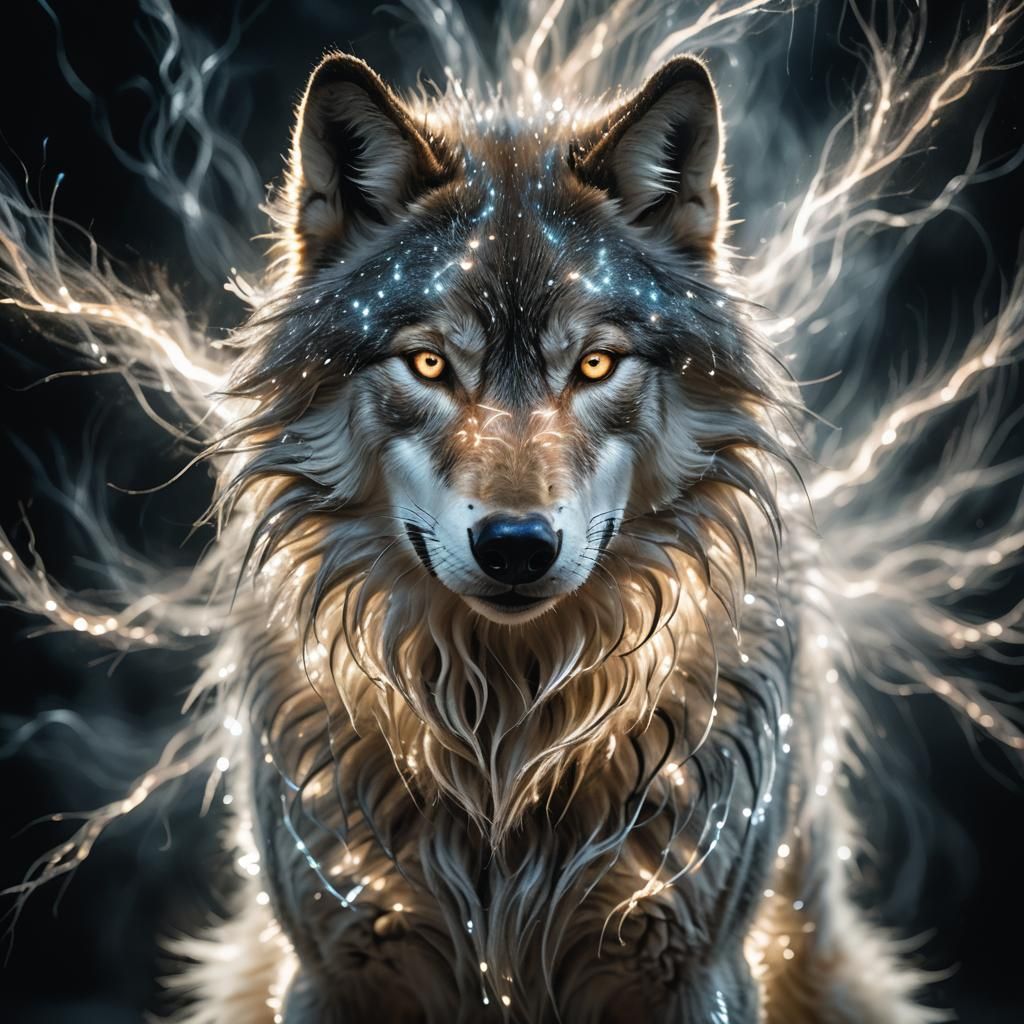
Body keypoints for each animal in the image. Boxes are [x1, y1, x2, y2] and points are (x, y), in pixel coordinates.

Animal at [127, 49, 953, 1024]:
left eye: (594, 364)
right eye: (430, 363)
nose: (517, 545)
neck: (504, 740)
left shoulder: (695, 969)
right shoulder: (334, 969)